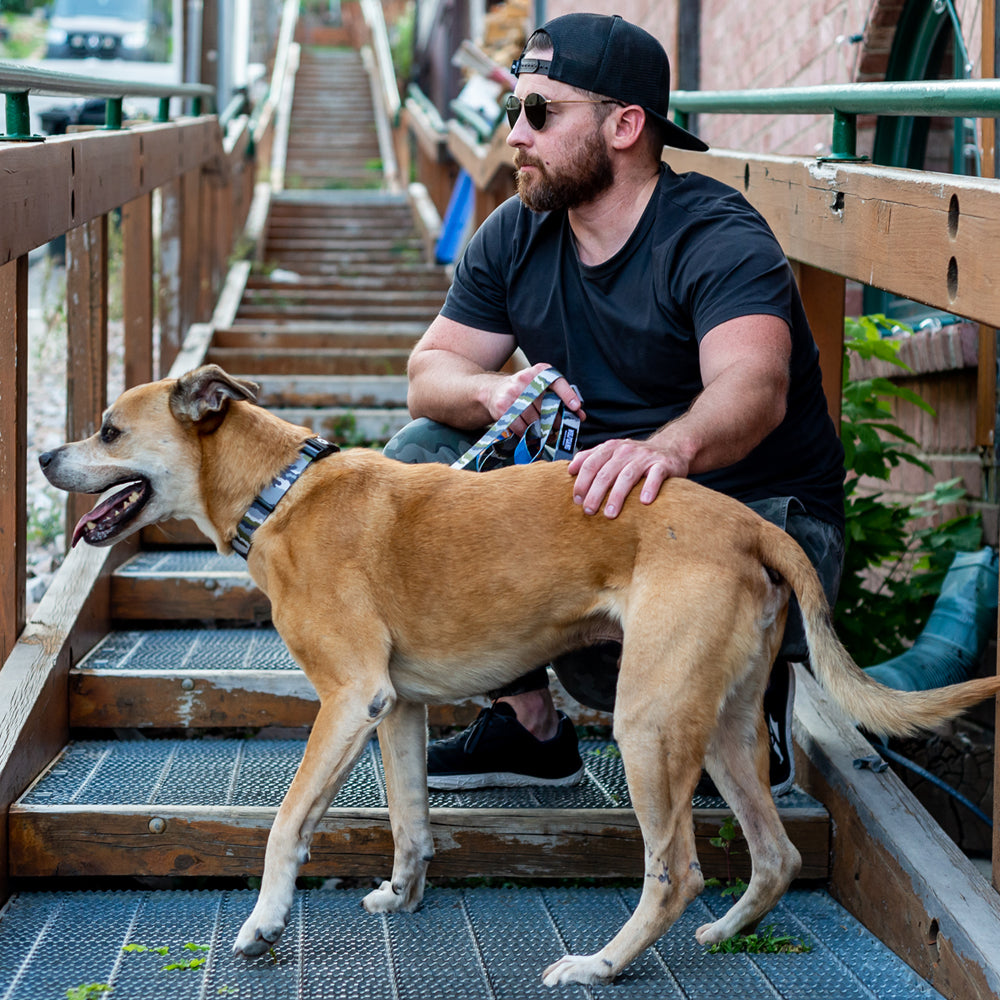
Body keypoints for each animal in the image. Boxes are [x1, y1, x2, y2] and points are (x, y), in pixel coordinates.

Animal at [39, 366, 1000, 984]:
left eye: (109, 428)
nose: (46, 458)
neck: (281, 491)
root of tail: (751, 526)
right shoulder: (396, 712)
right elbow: (409, 819)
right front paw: (403, 894)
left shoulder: (350, 698)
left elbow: (285, 825)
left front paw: (264, 924)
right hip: (723, 728)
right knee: (773, 856)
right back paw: (723, 934)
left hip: (648, 724)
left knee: (677, 871)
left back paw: (603, 965)